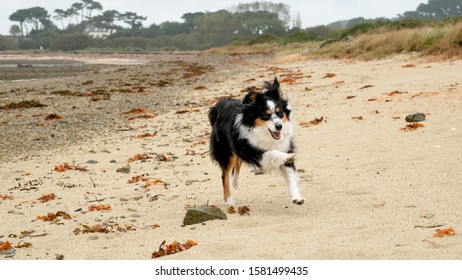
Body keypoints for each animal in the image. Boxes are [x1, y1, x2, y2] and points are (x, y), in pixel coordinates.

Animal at [208, 77, 304, 205]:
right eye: (265, 115)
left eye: (280, 112)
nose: (279, 127)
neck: (265, 133)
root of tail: (218, 106)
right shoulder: (253, 152)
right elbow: (272, 152)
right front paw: (286, 156)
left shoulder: (284, 146)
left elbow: (291, 176)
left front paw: (297, 197)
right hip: (227, 153)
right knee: (225, 175)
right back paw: (228, 199)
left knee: (237, 163)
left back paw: (235, 183)